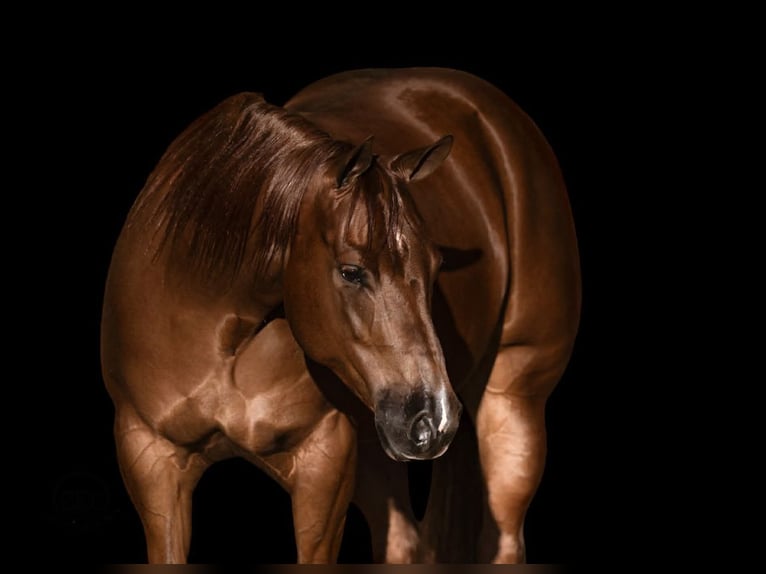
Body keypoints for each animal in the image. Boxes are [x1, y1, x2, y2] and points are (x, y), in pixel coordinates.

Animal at [100, 67, 580, 564]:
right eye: (351, 271)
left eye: (436, 266)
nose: (435, 418)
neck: (222, 333)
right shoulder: (152, 461)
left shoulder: (324, 463)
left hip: (511, 405)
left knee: (503, 536)